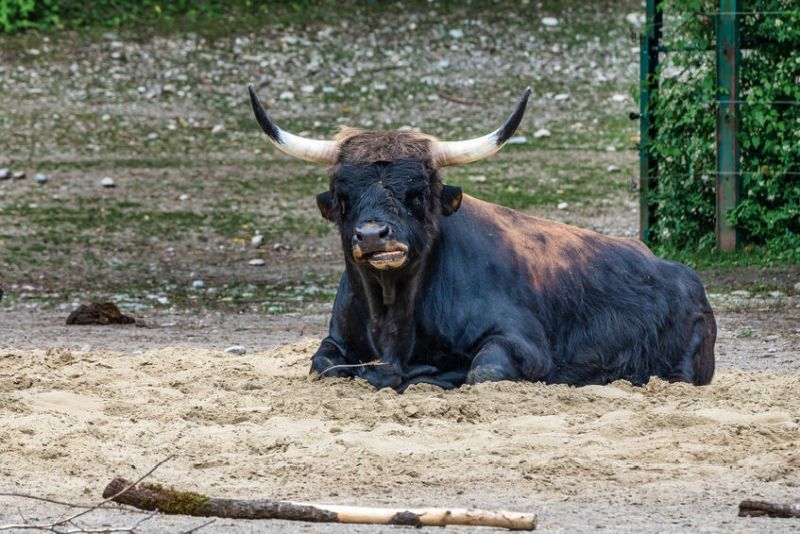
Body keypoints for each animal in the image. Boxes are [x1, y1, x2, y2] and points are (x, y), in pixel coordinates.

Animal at [247, 85, 716, 394]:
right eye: (343, 196)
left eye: (418, 193)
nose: (373, 234)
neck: (392, 315)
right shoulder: (336, 343)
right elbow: (323, 367)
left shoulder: (524, 345)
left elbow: (480, 372)